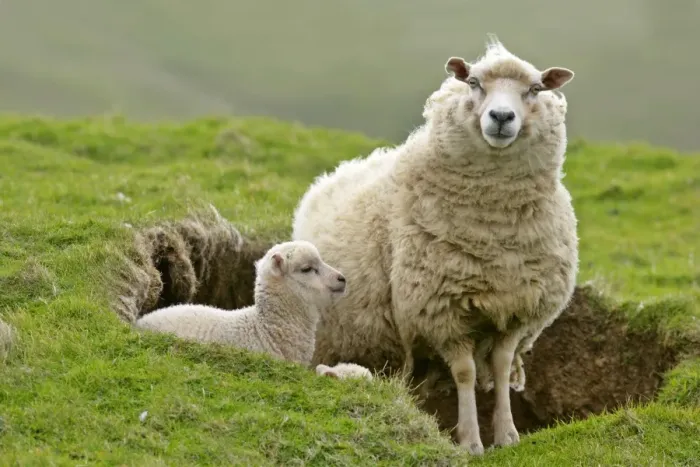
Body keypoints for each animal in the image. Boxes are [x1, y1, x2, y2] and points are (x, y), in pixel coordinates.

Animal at [292, 35, 577, 455]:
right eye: (473, 83)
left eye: (535, 89)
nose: (501, 117)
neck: (493, 231)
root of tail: (336, 173)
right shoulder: (441, 311)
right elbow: (465, 373)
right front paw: (470, 441)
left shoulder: (517, 307)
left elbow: (501, 367)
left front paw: (507, 435)